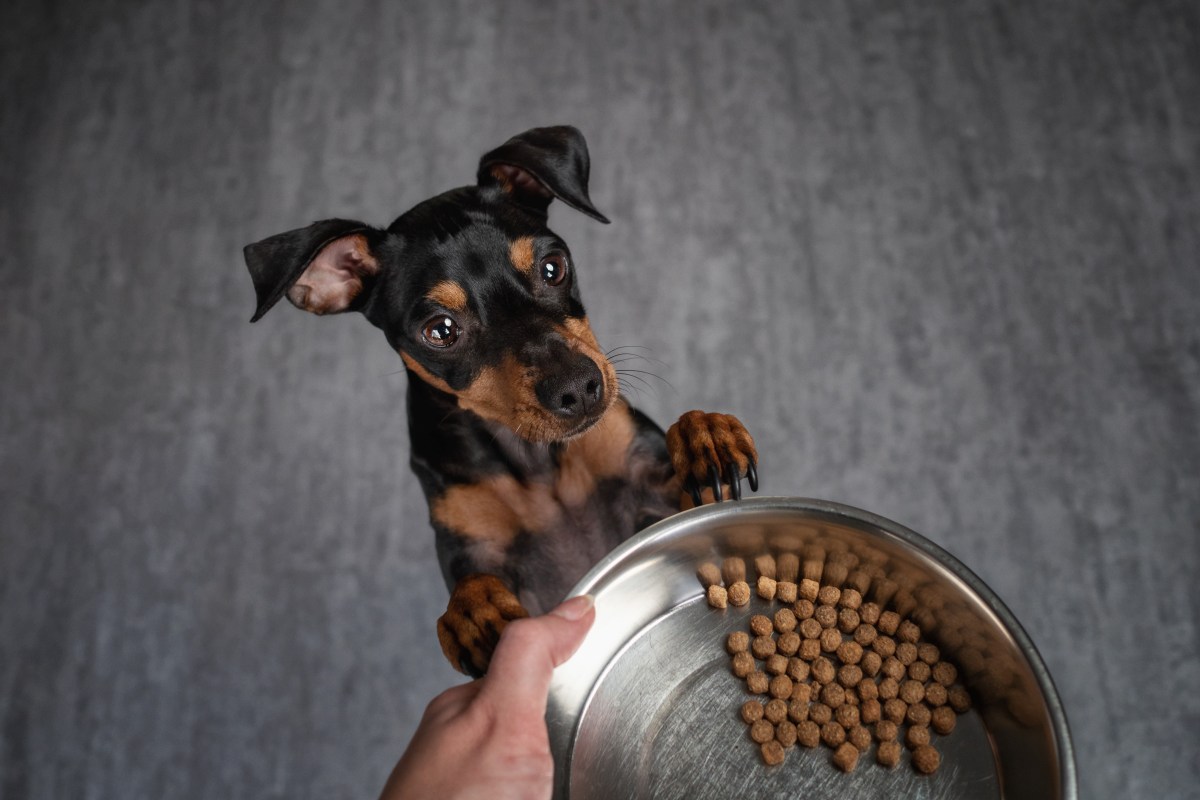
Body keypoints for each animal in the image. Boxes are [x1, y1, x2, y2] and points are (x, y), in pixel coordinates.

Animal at [243, 126, 758, 676]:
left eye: (553, 268)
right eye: (440, 331)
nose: (580, 389)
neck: (535, 461)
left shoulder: (660, 496)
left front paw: (706, 433)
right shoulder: (474, 546)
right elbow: (471, 584)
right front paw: (473, 610)